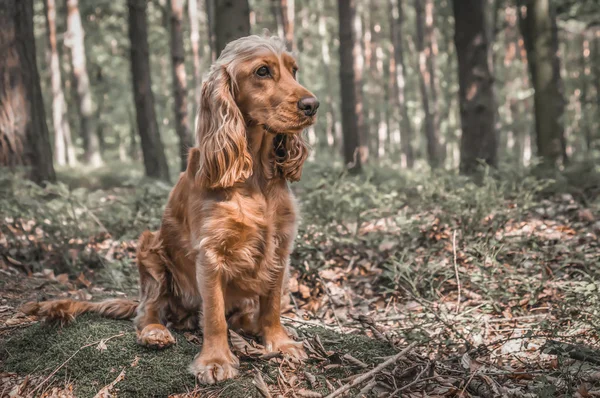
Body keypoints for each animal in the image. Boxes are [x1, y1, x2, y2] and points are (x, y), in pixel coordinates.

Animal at [22, 35, 318, 384]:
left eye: (294, 70)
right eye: (262, 71)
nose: (313, 105)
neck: (254, 174)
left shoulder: (280, 246)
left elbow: (272, 304)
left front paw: (279, 342)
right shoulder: (210, 252)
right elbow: (214, 314)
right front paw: (215, 360)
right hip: (150, 250)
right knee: (147, 311)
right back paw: (155, 332)